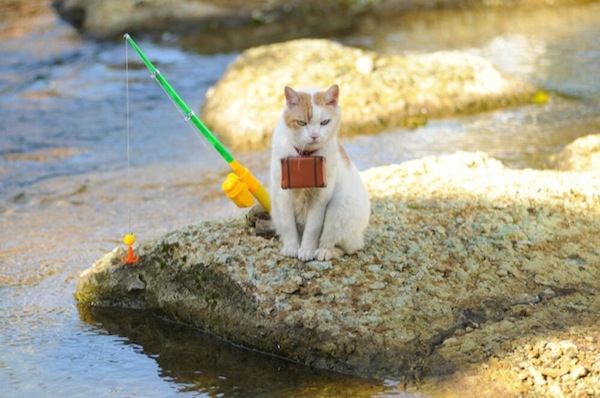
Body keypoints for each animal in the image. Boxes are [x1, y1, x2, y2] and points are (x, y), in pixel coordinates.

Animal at [268, 84, 370, 262]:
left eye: (325, 122)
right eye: (301, 122)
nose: (314, 135)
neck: (305, 156)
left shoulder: (320, 199)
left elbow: (312, 229)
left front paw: (307, 250)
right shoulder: (283, 196)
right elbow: (288, 225)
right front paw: (291, 247)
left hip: (338, 210)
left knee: (346, 246)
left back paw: (324, 251)